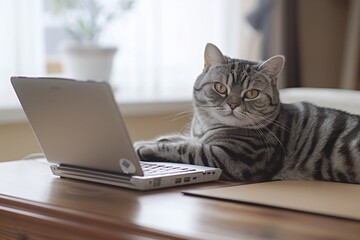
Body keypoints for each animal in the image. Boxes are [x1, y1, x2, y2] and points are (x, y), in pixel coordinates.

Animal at [134, 42, 360, 184]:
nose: (233, 104)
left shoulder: (233, 158)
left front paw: (146, 148)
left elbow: (185, 149)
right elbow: (175, 138)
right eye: (220, 87)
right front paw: (141, 142)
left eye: (251, 93)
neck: (205, 128)